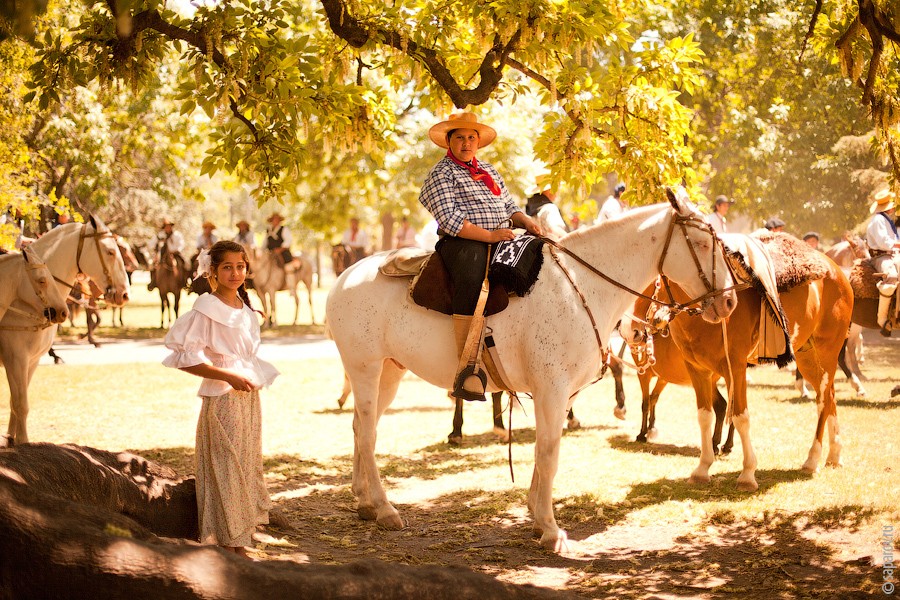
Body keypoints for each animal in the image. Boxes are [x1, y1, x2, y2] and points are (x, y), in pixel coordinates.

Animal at [0, 218, 130, 442]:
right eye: (110, 252)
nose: (124, 294)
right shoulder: (15, 359)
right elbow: (21, 404)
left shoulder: (31, 361)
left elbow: (15, 402)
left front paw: (12, 438)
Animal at [326, 190, 736, 552]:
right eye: (702, 242)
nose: (731, 301)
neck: (580, 287)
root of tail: (344, 278)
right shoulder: (551, 390)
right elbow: (549, 454)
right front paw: (552, 530)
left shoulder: (558, 394)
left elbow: (544, 451)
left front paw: (537, 518)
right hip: (365, 369)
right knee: (367, 434)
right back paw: (384, 509)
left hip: (389, 373)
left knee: (361, 427)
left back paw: (364, 501)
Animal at [624, 234, 856, 488]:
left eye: (651, 282)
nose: (630, 330)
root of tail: (837, 271)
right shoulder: (698, 370)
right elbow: (705, 415)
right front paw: (702, 468)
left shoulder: (735, 367)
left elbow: (740, 416)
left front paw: (747, 474)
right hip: (807, 356)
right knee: (830, 396)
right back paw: (834, 455)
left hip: (827, 352)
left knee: (823, 399)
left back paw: (812, 459)